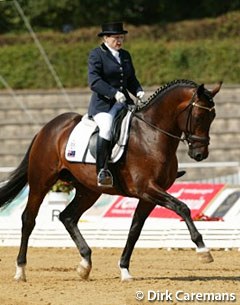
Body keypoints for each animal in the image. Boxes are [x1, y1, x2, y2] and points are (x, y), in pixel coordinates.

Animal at [0, 78, 221, 280]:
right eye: (199, 116)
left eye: (213, 116)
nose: (200, 154)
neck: (152, 134)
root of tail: (46, 128)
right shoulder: (147, 188)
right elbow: (182, 207)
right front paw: (203, 250)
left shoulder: (149, 196)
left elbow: (135, 230)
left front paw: (125, 269)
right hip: (41, 181)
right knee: (29, 219)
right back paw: (20, 270)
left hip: (89, 190)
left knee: (68, 217)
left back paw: (85, 264)